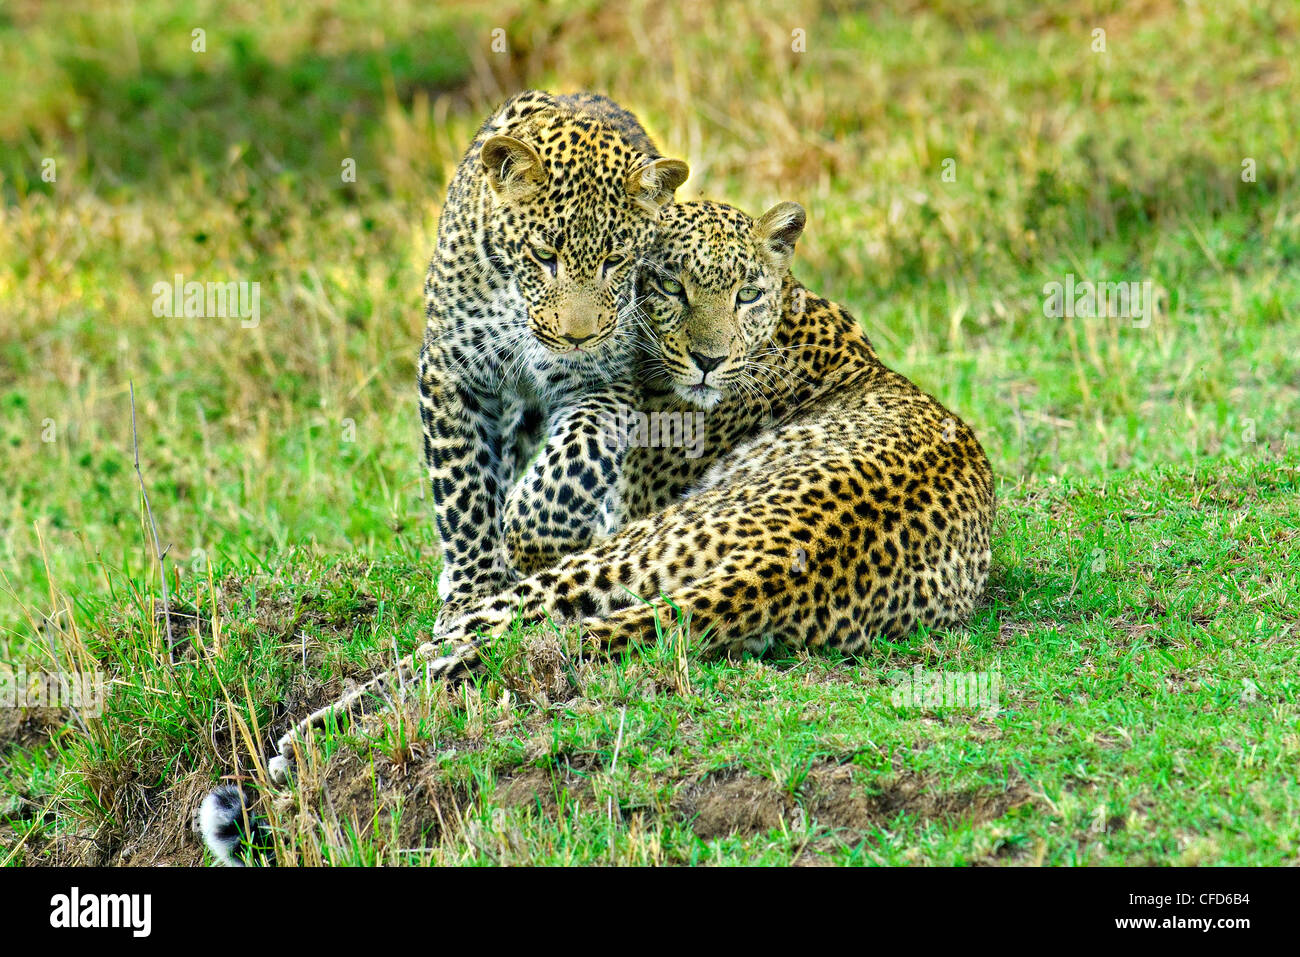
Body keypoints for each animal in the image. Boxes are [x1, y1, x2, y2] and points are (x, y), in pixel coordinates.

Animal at [253, 196, 993, 800]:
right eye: (671, 286)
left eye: (746, 294)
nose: (709, 361)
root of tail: (778, 566)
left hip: (600, 562)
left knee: (450, 647)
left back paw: (305, 740)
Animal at [423, 89, 696, 629]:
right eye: (545, 256)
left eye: (615, 261)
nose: (577, 337)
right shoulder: (450, 372)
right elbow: (464, 487)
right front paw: (472, 589)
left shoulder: (605, 381)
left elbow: (571, 464)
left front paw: (527, 537)